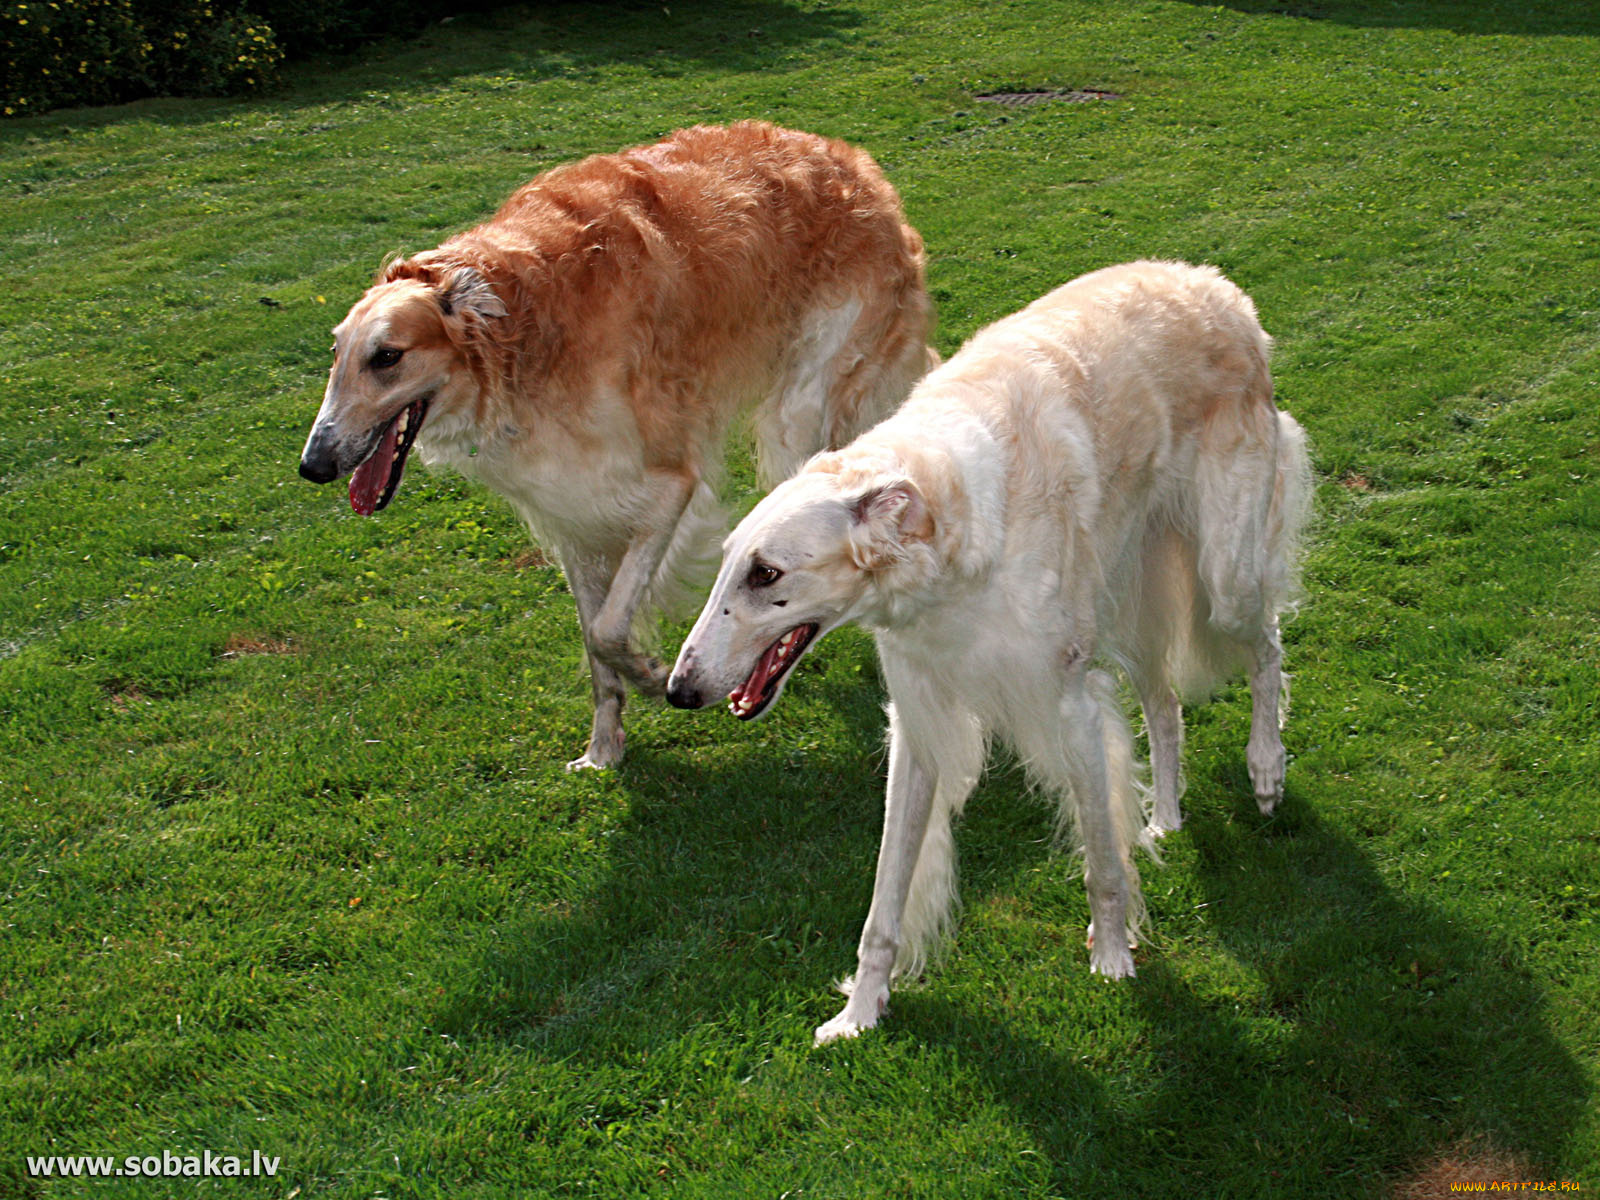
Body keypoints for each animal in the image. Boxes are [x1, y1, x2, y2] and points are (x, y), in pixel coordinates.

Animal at [297, 122, 934, 771]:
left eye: (387, 357)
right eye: (336, 354)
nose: (312, 464)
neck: (524, 327)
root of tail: (850, 159)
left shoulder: (671, 486)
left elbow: (608, 630)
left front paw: (653, 675)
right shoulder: (571, 512)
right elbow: (594, 641)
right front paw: (603, 747)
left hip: (798, 413)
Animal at [668, 260, 1305, 1043]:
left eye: (766, 574)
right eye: (729, 563)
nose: (679, 689)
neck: (958, 515)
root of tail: (1218, 287)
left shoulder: (1066, 701)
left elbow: (1101, 862)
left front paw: (1113, 958)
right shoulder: (920, 719)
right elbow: (884, 903)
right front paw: (859, 1011)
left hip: (1225, 576)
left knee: (1266, 647)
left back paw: (1266, 768)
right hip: (1134, 589)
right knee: (1164, 703)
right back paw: (1166, 819)